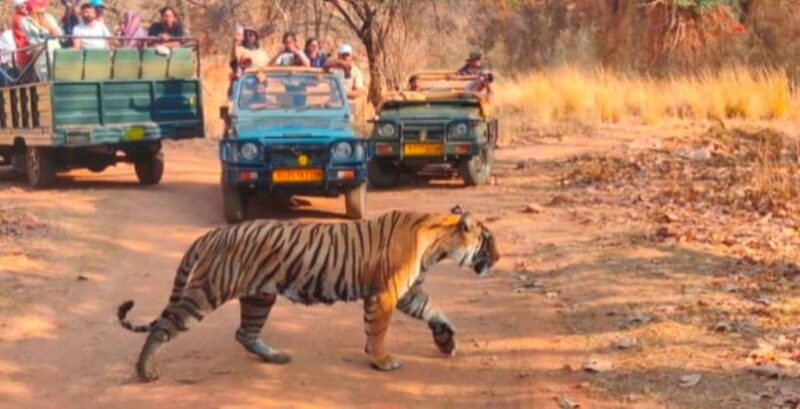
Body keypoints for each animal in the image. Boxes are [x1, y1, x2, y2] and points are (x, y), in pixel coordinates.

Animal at [117, 205, 499, 382]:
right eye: (489, 240)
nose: (498, 258)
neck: (437, 244)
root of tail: (214, 233)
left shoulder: (408, 293)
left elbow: (435, 311)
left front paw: (446, 341)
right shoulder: (386, 295)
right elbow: (378, 332)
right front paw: (380, 361)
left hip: (259, 296)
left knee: (244, 332)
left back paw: (275, 357)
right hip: (207, 291)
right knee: (162, 327)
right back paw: (144, 370)